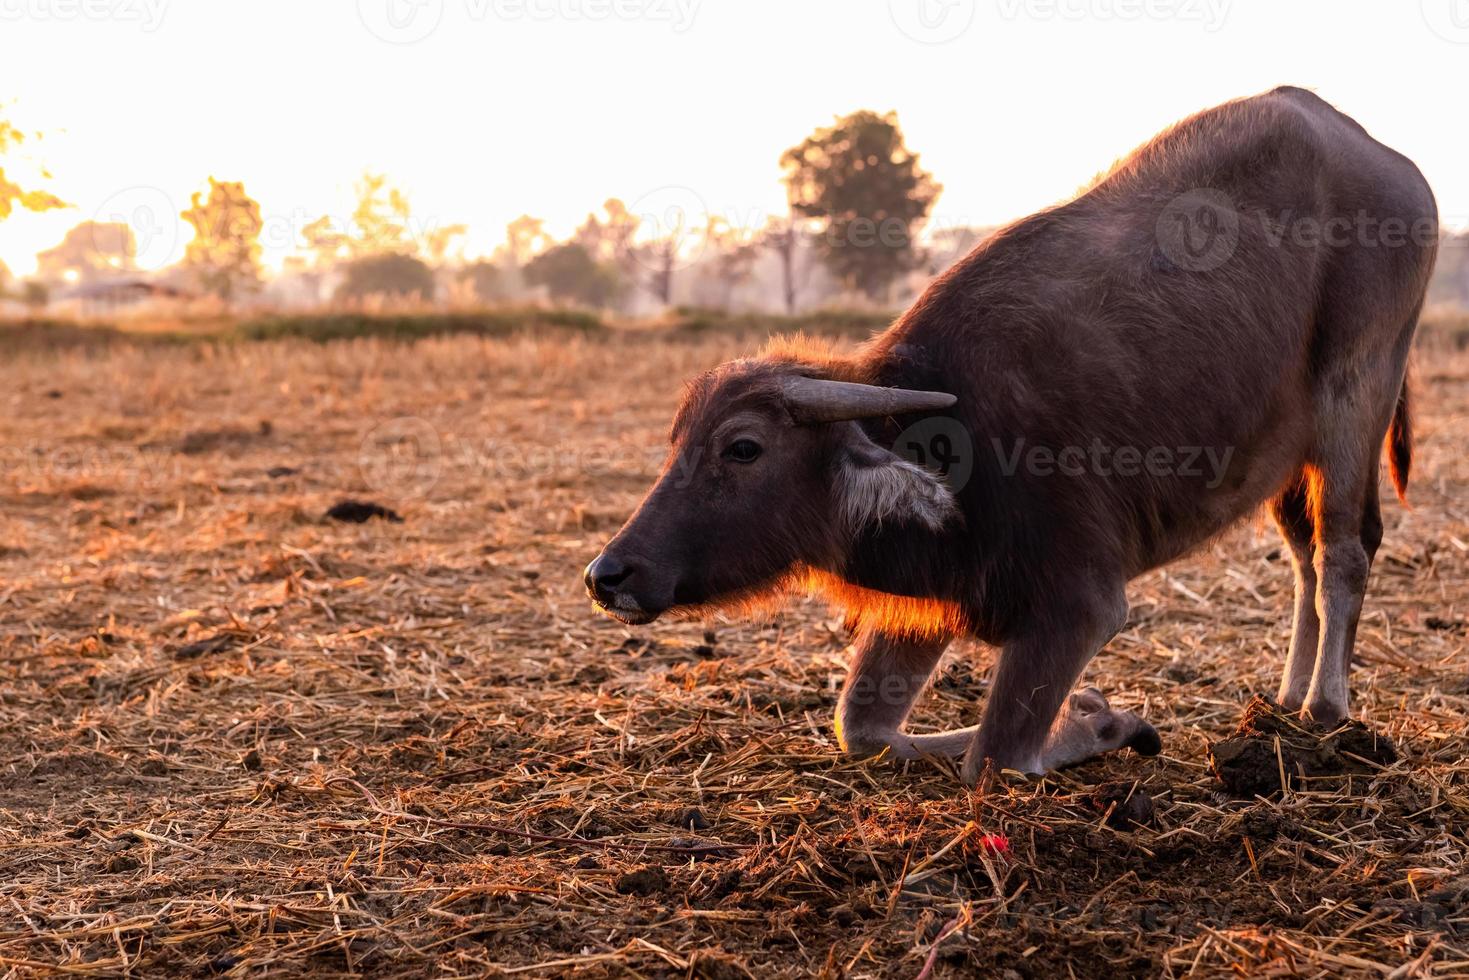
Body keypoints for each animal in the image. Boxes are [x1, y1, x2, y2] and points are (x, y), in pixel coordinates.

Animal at [581, 88, 1433, 787]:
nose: (607, 575)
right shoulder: (939, 595)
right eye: (676, 441)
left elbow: (995, 757)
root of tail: (1393, 168)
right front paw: (1093, 712)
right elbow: (861, 728)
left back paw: (1324, 707)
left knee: (1343, 548)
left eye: (743, 447)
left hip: (1356, 393)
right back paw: (1286, 695)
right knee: (1300, 552)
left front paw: (1104, 722)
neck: (958, 448)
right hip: (1288, 452)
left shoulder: (1080, 606)